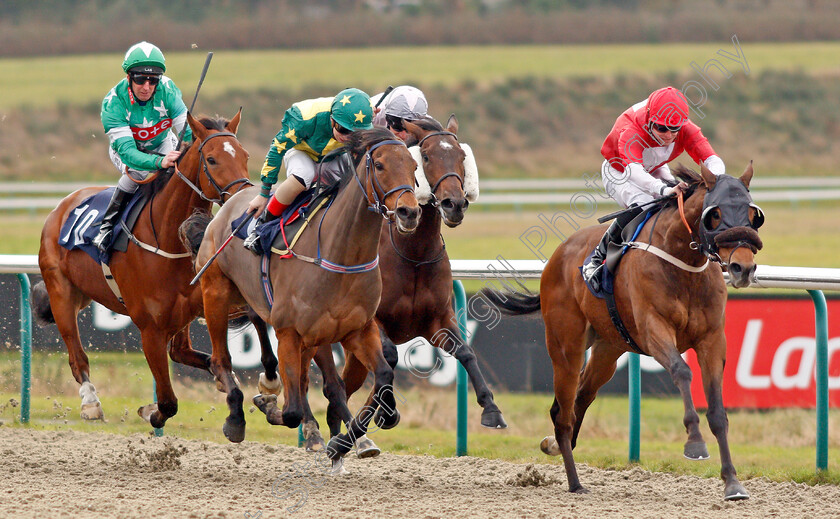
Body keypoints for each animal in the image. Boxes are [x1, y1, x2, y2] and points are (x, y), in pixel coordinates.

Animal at [34, 111, 251, 428]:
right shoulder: (150, 330)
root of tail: (61, 205)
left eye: (246, 155)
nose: (243, 198)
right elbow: (168, 402)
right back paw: (91, 403)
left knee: (181, 352)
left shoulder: (197, 306)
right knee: (77, 356)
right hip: (61, 293)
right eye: (211, 159)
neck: (167, 239)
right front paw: (150, 411)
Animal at [184, 127, 420, 464]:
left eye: (414, 167)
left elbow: (382, 376)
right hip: (215, 290)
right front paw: (271, 406)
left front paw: (347, 441)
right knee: (220, 360)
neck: (340, 254)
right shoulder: (292, 332)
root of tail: (230, 203)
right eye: (380, 165)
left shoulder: (357, 330)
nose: (408, 212)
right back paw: (236, 417)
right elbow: (294, 408)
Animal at [480, 165, 760, 502]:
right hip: (566, 347)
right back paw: (574, 481)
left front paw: (732, 482)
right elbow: (681, 371)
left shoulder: (712, 339)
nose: (742, 268)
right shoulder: (654, 330)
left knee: (579, 398)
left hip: (607, 350)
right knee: (563, 412)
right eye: (714, 214)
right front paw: (694, 443)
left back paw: (555, 446)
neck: (683, 262)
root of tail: (556, 257)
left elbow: (718, 412)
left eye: (753, 214)